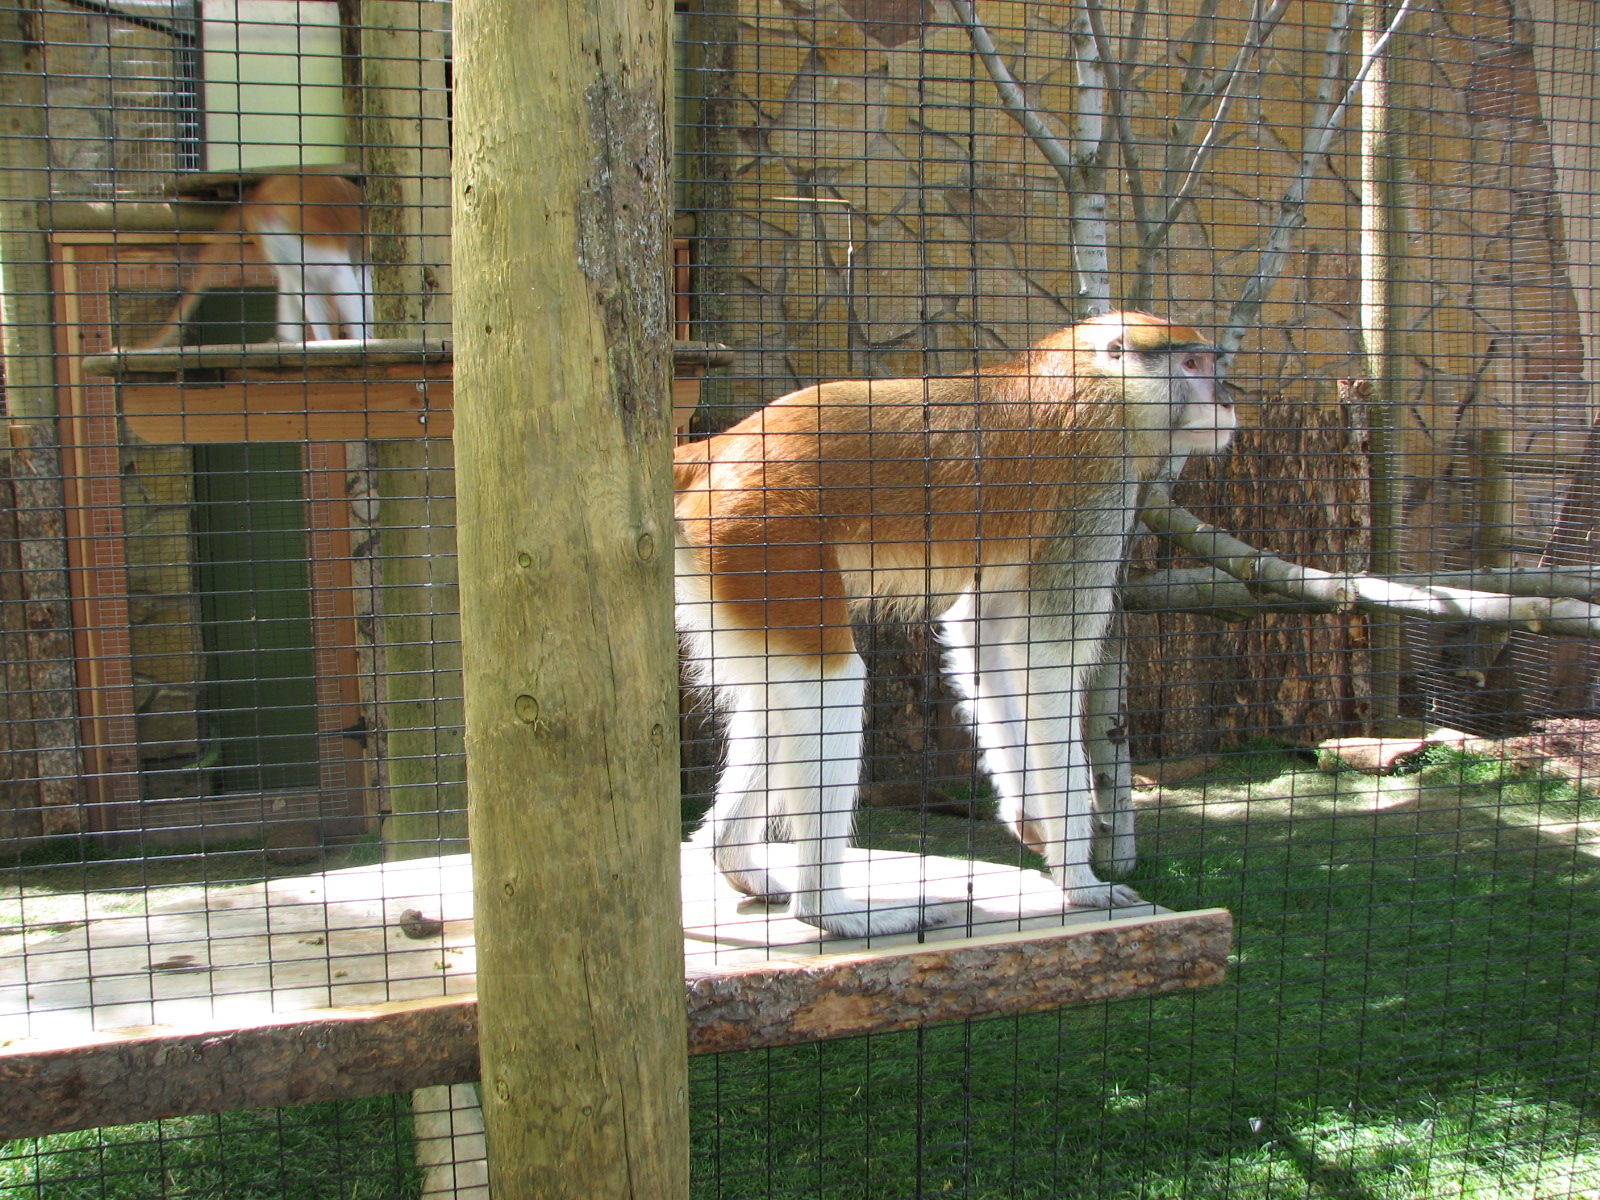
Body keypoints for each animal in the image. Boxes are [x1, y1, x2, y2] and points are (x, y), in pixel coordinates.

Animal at [674, 311, 1237, 938]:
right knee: (831, 682)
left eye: (1212, 363)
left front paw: (1028, 815)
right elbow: (1048, 659)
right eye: (1192, 364)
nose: (1225, 399)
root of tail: (720, 448)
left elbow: (982, 635)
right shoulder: (1097, 477)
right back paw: (832, 910)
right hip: (766, 536)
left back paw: (735, 859)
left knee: (781, 698)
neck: (1099, 380)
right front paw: (1082, 881)